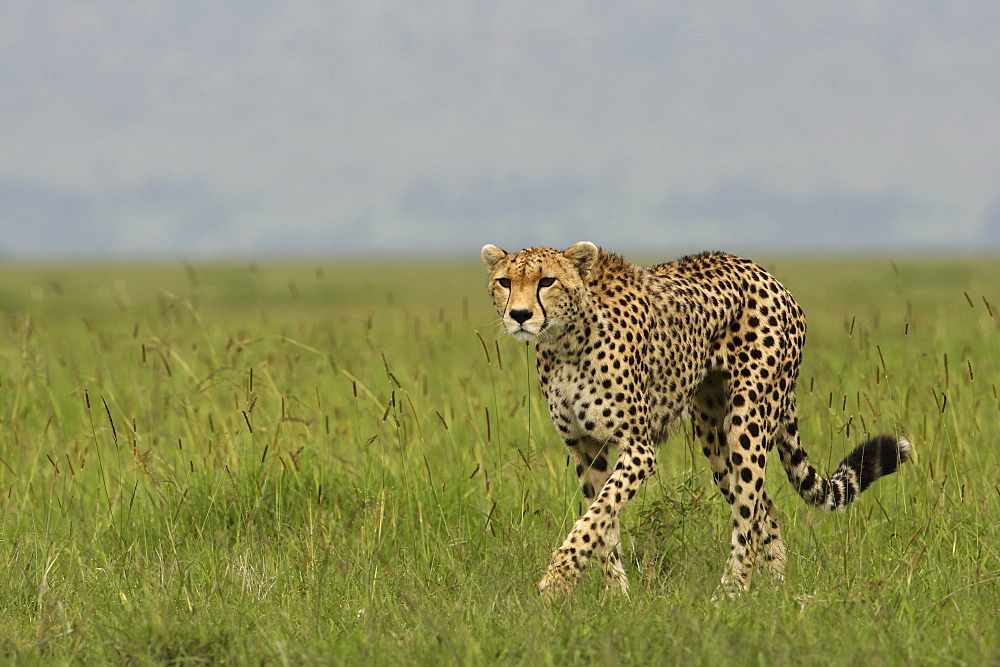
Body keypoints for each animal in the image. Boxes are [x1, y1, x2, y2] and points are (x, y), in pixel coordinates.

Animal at [480, 243, 912, 596]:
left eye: (546, 281)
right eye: (504, 282)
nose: (520, 315)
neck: (566, 340)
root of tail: (768, 276)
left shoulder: (638, 448)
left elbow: (594, 518)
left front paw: (557, 580)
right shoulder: (585, 449)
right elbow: (603, 524)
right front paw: (615, 596)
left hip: (747, 418)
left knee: (748, 513)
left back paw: (730, 594)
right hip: (711, 430)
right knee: (764, 508)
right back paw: (774, 591)